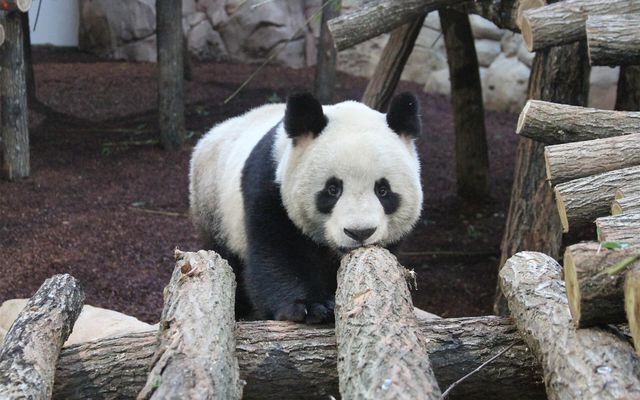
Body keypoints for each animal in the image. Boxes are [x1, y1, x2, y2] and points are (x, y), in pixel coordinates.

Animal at [189, 92, 423, 324]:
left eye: (382, 190)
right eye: (332, 189)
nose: (360, 232)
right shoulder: (270, 186)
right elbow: (278, 252)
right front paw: (311, 306)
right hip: (214, 206)